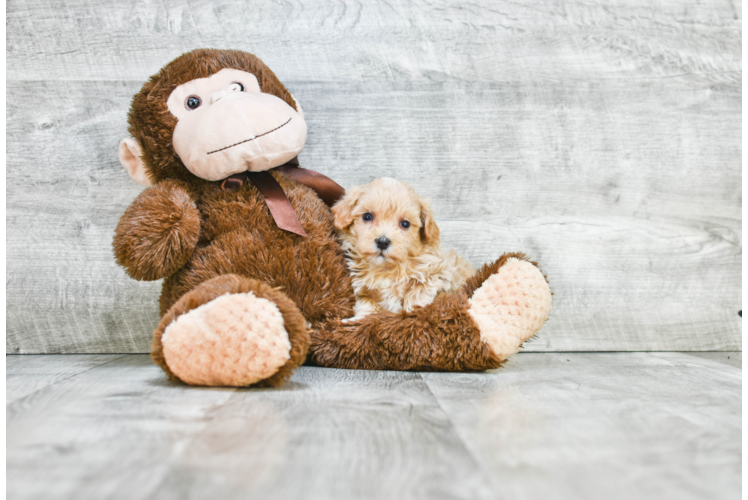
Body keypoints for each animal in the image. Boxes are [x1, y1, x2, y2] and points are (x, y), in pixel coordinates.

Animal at [334, 178, 474, 320]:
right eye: (367, 216)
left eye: (405, 224)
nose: (382, 242)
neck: (386, 269)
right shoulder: (364, 291)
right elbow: (366, 308)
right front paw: (359, 319)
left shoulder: (439, 273)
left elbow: (418, 293)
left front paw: (411, 313)